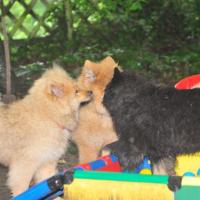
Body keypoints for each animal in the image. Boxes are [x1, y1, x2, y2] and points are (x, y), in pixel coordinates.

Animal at [0, 65, 92, 196]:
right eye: (76, 91)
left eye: (77, 87)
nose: (90, 92)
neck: (48, 116)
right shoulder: (25, 164)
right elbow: (22, 186)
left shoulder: (47, 161)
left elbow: (47, 182)